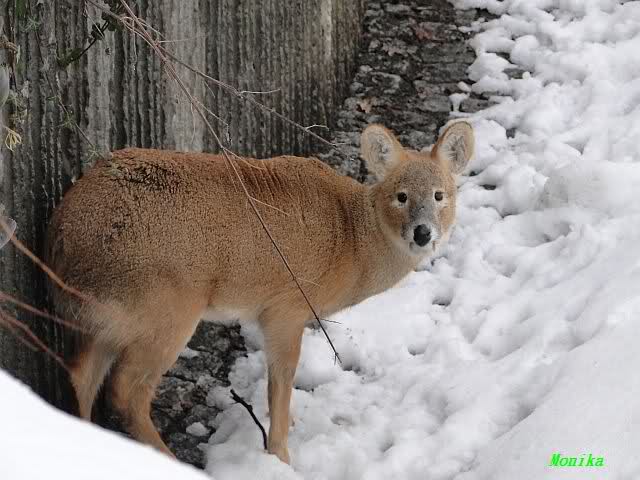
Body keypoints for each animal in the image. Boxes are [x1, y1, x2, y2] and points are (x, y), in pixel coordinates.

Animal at [45, 121, 474, 464]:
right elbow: (281, 379)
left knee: (81, 375)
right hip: (165, 310)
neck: (349, 241)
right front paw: (281, 455)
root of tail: (64, 236)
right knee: (125, 392)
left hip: (103, 317)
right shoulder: (286, 308)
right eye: (401, 195)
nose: (423, 233)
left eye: (440, 195)